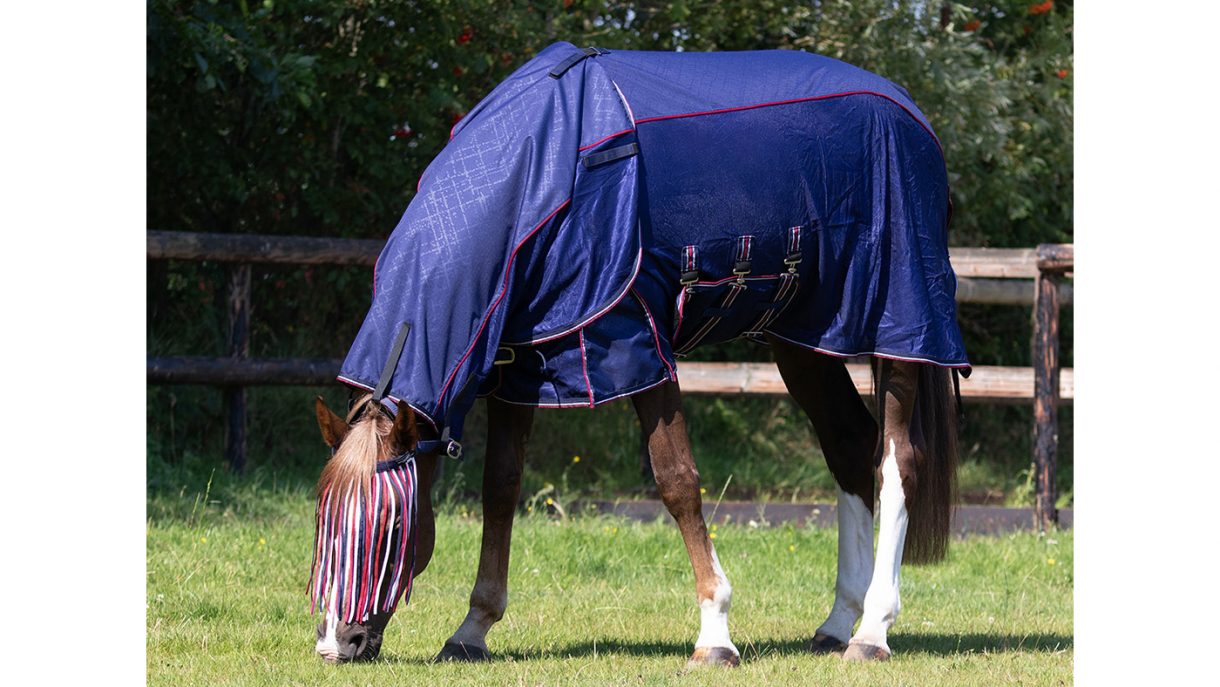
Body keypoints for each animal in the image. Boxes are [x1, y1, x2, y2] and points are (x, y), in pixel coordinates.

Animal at [308, 42, 968, 667]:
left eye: (392, 524)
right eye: (321, 518)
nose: (338, 644)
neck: (539, 179)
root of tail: (911, 114)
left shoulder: (640, 349)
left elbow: (677, 481)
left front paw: (715, 634)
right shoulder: (520, 360)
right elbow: (500, 487)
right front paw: (472, 629)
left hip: (902, 322)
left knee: (897, 460)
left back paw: (873, 631)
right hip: (805, 338)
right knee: (849, 446)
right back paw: (837, 624)